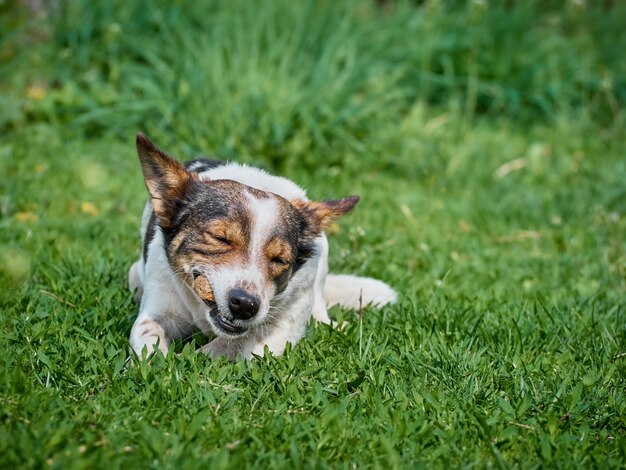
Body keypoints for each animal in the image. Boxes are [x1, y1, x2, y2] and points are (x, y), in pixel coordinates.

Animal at [128, 134, 394, 362]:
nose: (245, 305)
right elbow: (148, 336)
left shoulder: (283, 326)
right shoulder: (157, 309)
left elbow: (228, 346)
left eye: (279, 260)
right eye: (219, 238)